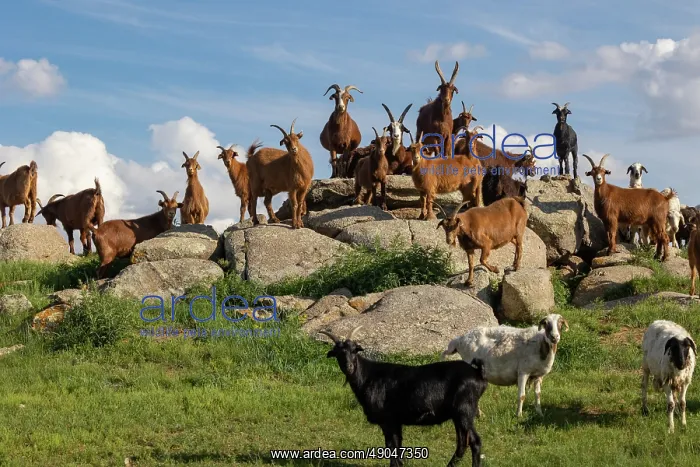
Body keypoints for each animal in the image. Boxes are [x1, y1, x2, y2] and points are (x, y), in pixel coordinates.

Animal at [320, 326, 487, 467]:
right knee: (462, 442)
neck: (368, 376)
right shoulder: (396, 422)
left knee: (474, 442)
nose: (349, 367)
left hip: (464, 410)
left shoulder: (388, 420)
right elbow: (397, 447)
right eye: (338, 353)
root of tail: (477, 373)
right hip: (458, 414)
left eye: (354, 351)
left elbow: (391, 447)